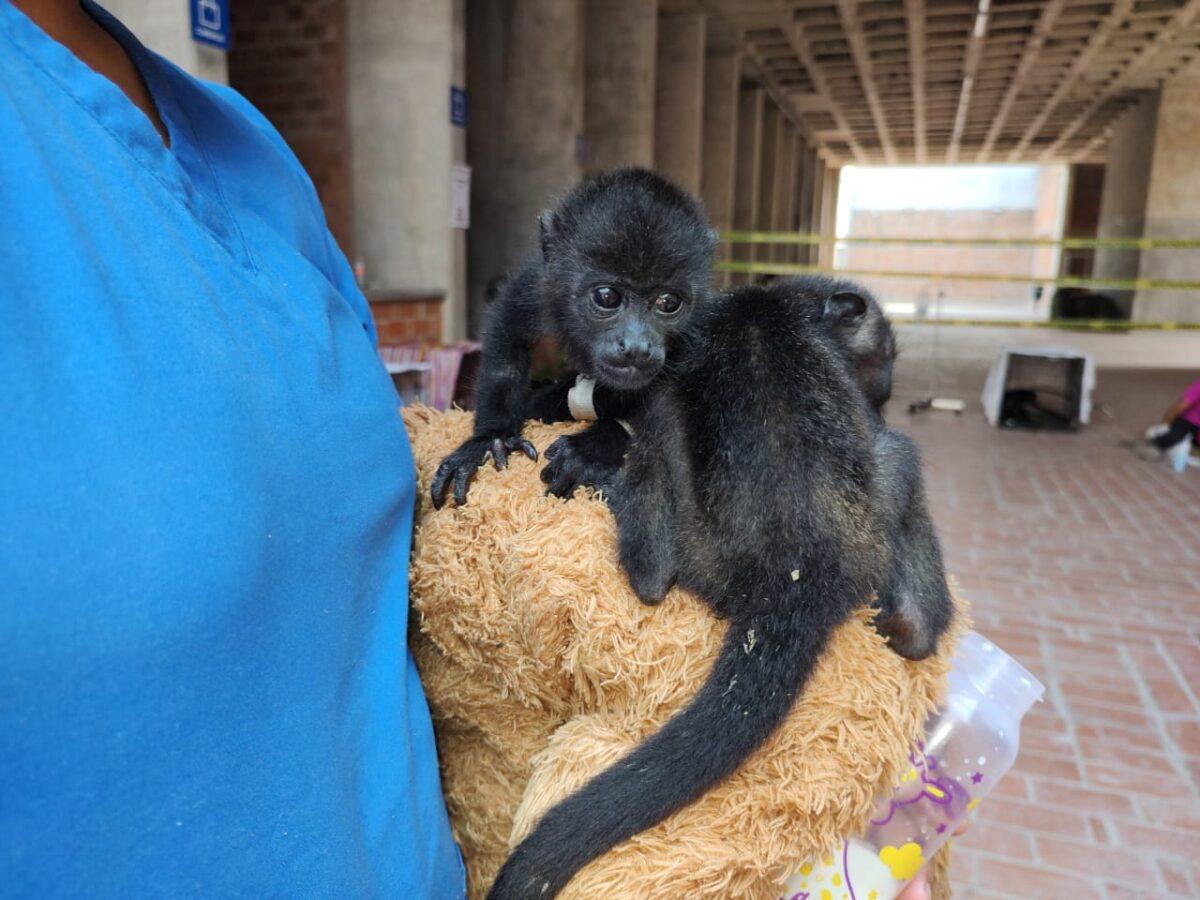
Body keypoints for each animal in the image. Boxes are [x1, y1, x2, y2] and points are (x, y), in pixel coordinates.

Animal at [430, 168, 717, 508]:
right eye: (606, 296)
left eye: (668, 302)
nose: (637, 347)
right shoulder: (538, 285)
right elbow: (507, 332)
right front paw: (491, 438)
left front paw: (594, 447)